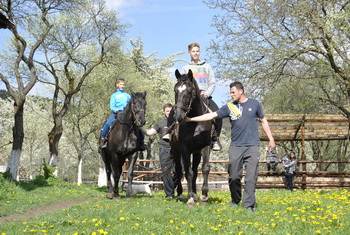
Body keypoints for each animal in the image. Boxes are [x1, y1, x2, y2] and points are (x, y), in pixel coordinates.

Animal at [170, 69, 213, 207]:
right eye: (175, 90)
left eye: (189, 91)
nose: (178, 116)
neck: (196, 120)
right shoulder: (185, 149)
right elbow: (187, 172)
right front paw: (189, 198)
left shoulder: (206, 146)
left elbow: (204, 168)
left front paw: (204, 195)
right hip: (176, 151)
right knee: (179, 171)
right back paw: (180, 195)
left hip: (196, 153)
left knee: (195, 171)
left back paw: (195, 194)